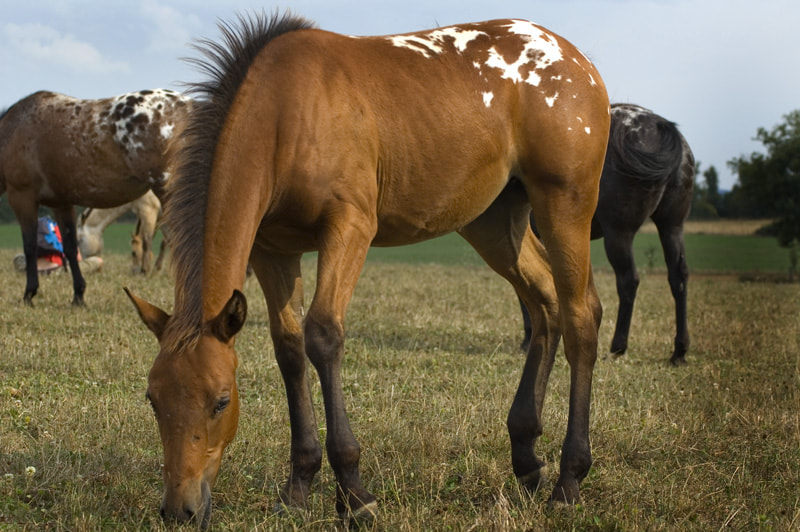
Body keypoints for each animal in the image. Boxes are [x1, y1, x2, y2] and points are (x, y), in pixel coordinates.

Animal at [0, 89, 190, 306]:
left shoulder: (22, 197)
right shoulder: (62, 203)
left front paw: (29, 293)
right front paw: (78, 295)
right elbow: (69, 247)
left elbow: (30, 246)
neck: (13, 130)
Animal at [128, 13, 608, 528]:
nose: (180, 510)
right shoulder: (273, 251)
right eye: (152, 399)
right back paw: (527, 457)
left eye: (221, 400)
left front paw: (355, 494)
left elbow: (323, 335)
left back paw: (569, 479)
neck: (287, 112)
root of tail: (575, 59)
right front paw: (298, 487)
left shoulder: (350, 226)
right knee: (545, 304)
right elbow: (290, 349)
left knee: (581, 317)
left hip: (564, 205)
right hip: (494, 223)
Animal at [520, 102, 692, 364]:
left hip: (618, 234)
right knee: (678, 277)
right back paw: (679, 351)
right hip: (672, 226)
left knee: (629, 280)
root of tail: (658, 125)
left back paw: (618, 346)